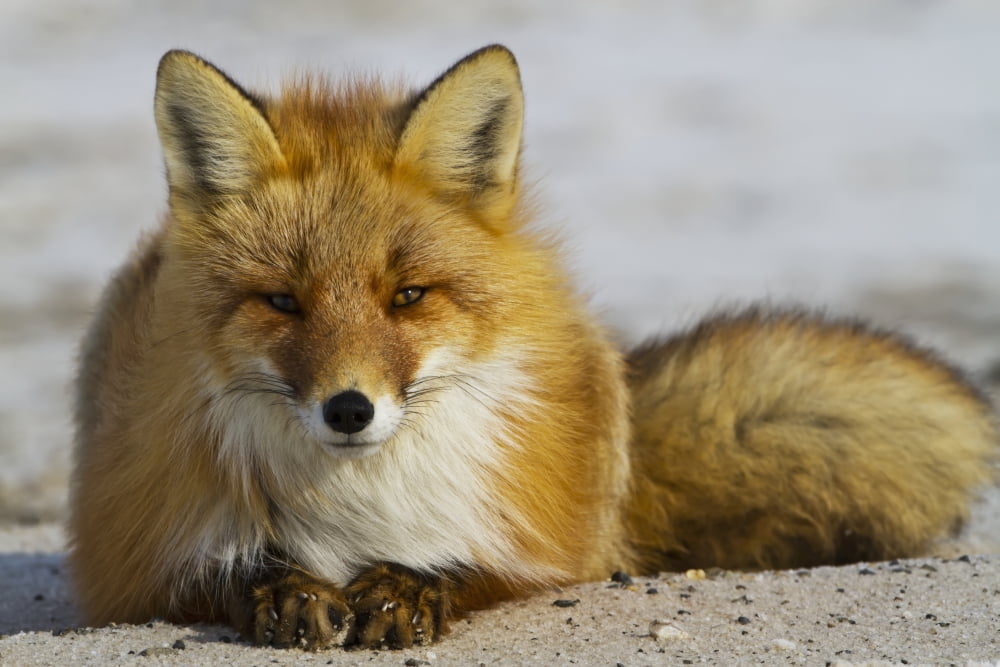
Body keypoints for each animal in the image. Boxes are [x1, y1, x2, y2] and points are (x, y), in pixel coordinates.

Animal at [68, 44, 992, 648]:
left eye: (408, 296)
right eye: (282, 301)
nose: (350, 409)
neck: (355, 502)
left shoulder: (539, 541)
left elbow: (475, 565)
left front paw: (404, 587)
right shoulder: (132, 555)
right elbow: (226, 570)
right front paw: (284, 589)